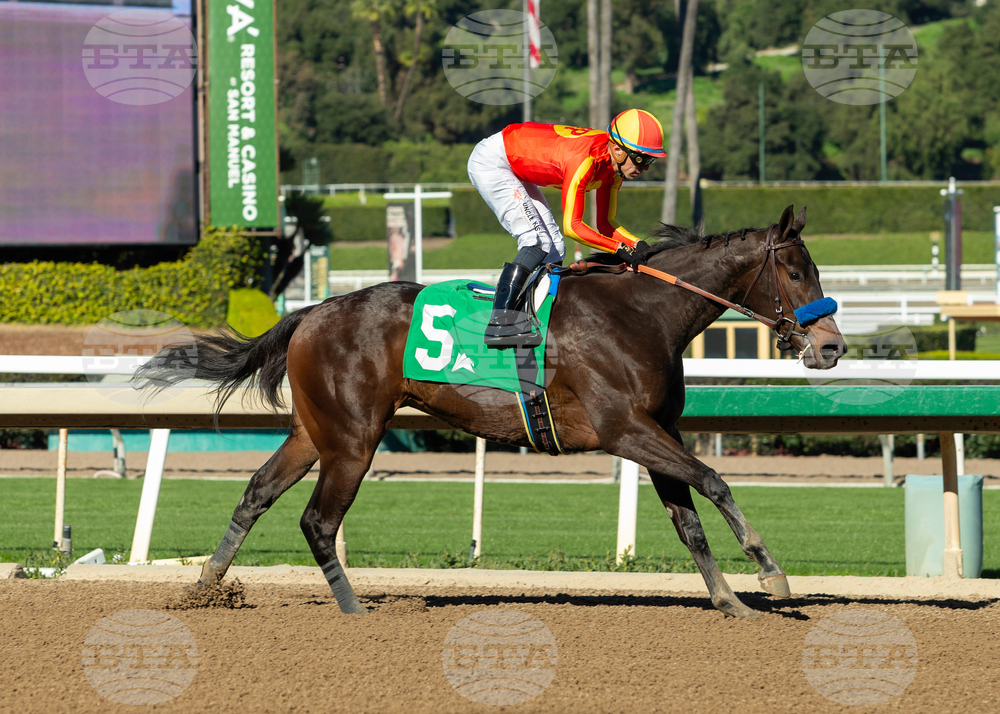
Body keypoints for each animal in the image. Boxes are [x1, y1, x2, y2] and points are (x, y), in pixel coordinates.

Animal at [136, 204, 846, 618]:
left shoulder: (657, 429)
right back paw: (355, 613)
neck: (642, 314)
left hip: (316, 431)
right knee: (318, 520)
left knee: (257, 492)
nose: (832, 346)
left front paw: (730, 602)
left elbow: (688, 520)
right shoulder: (625, 429)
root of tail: (312, 310)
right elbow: (715, 482)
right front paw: (772, 574)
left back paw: (206, 587)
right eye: (798, 273)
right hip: (354, 438)